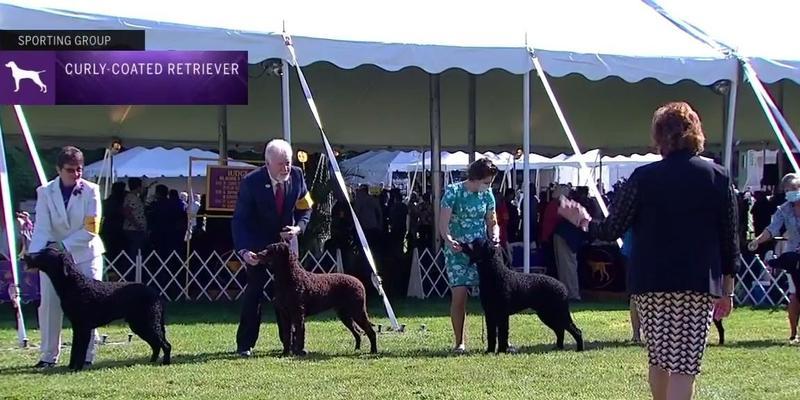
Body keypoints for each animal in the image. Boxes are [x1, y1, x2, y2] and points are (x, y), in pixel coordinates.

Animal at [25, 247, 170, 372]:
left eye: (44, 254)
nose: (25, 256)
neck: (75, 284)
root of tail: (156, 294)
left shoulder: (84, 326)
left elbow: (81, 350)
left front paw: (77, 368)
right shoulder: (76, 326)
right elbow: (74, 349)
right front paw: (71, 367)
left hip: (147, 323)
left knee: (165, 345)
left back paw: (165, 363)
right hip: (140, 325)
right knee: (157, 345)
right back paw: (152, 361)